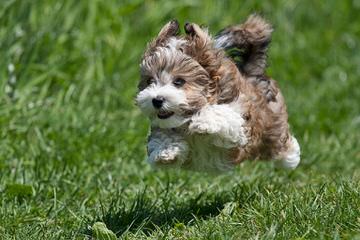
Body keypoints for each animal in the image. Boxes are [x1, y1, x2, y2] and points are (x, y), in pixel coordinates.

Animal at [136, 15, 300, 172]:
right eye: (150, 81)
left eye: (179, 82)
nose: (157, 100)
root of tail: (251, 73)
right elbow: (161, 137)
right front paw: (164, 151)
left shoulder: (241, 123)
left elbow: (223, 114)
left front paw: (203, 121)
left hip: (271, 125)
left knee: (279, 141)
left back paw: (291, 158)